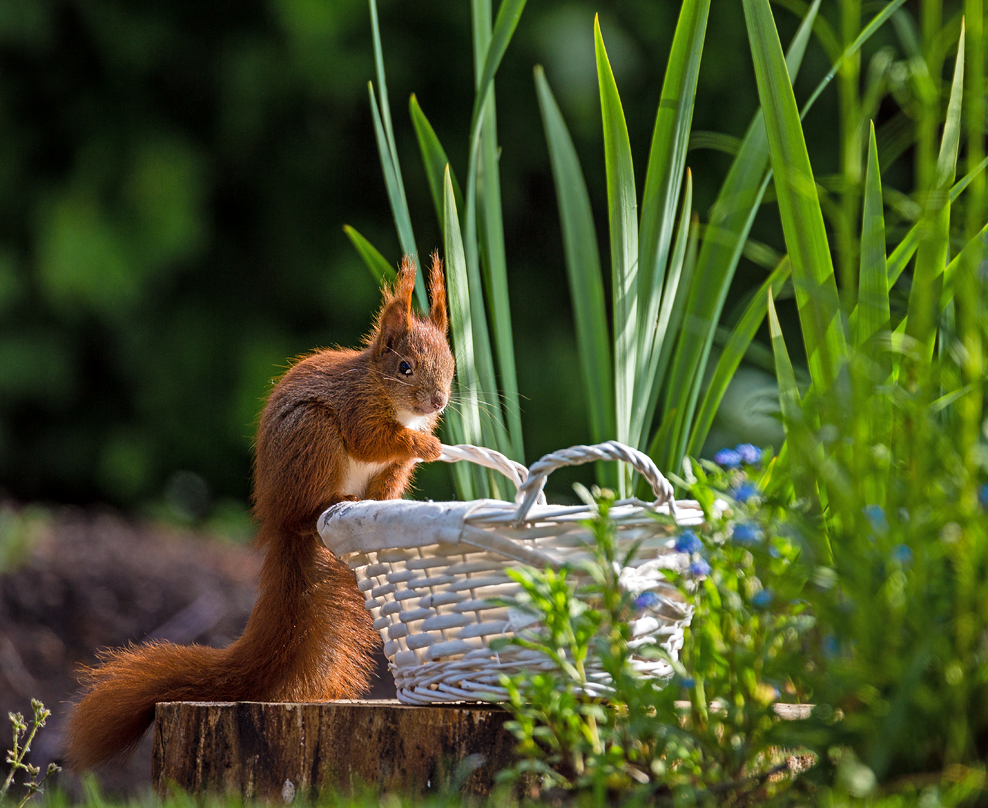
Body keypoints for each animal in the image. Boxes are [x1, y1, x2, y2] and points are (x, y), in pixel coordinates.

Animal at [63, 258, 458, 772]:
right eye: (404, 367)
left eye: (450, 363)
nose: (437, 402)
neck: (386, 394)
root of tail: (279, 521)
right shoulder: (359, 412)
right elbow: (374, 440)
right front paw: (424, 444)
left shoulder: (392, 470)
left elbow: (390, 473)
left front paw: (407, 477)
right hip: (313, 436)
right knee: (310, 503)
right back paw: (326, 505)